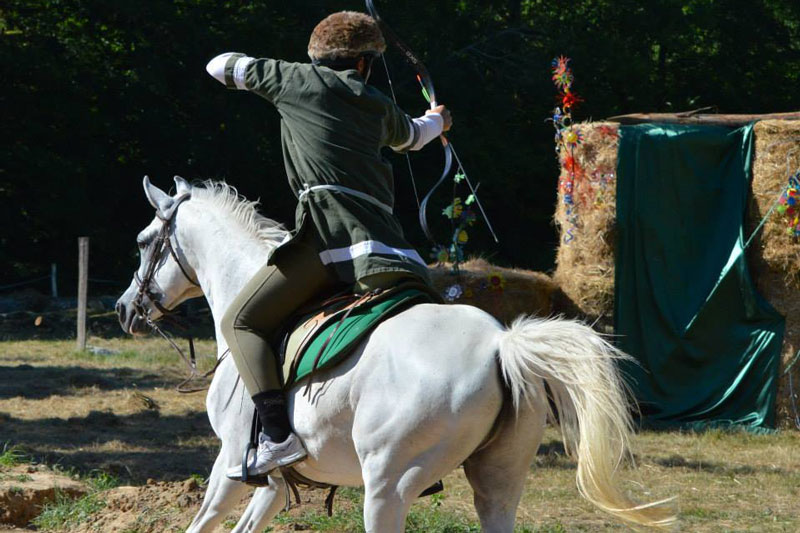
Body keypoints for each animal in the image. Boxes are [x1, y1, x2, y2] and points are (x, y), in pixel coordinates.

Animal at [115, 176, 675, 532]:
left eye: (143, 241)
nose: (125, 307)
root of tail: (500, 344)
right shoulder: (272, 483)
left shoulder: (231, 465)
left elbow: (203, 523)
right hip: (499, 483)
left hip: (387, 488)